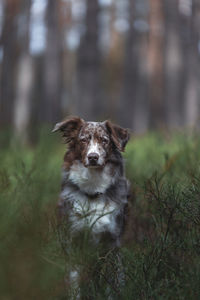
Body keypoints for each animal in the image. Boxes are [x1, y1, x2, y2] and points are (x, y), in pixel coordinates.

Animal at [52, 117, 130, 298]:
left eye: (104, 140)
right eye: (83, 140)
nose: (93, 157)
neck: (93, 189)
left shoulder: (111, 242)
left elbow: (111, 284)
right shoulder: (73, 241)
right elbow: (74, 283)